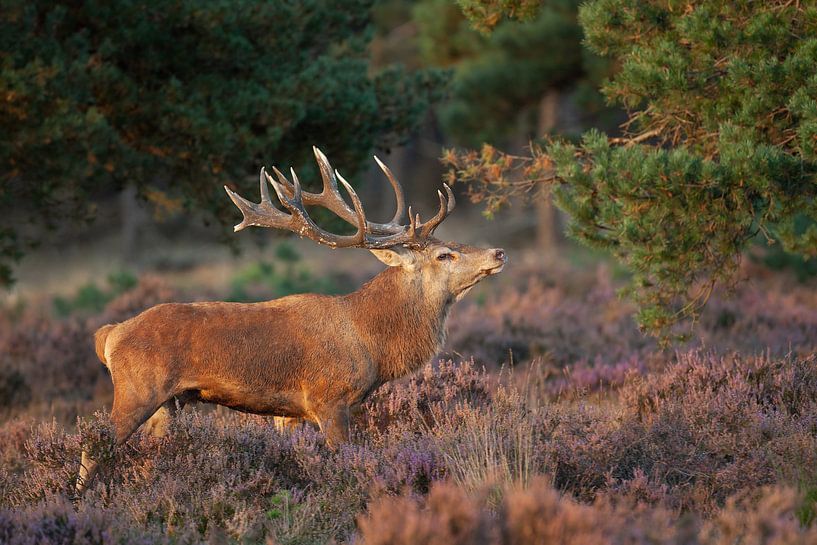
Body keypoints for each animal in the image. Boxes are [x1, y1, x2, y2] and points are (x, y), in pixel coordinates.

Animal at [76, 147, 506, 493]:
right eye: (445, 255)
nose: (499, 252)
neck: (372, 341)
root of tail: (109, 335)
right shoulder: (329, 398)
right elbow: (344, 459)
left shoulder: (290, 413)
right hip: (137, 389)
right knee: (93, 446)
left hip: (169, 404)